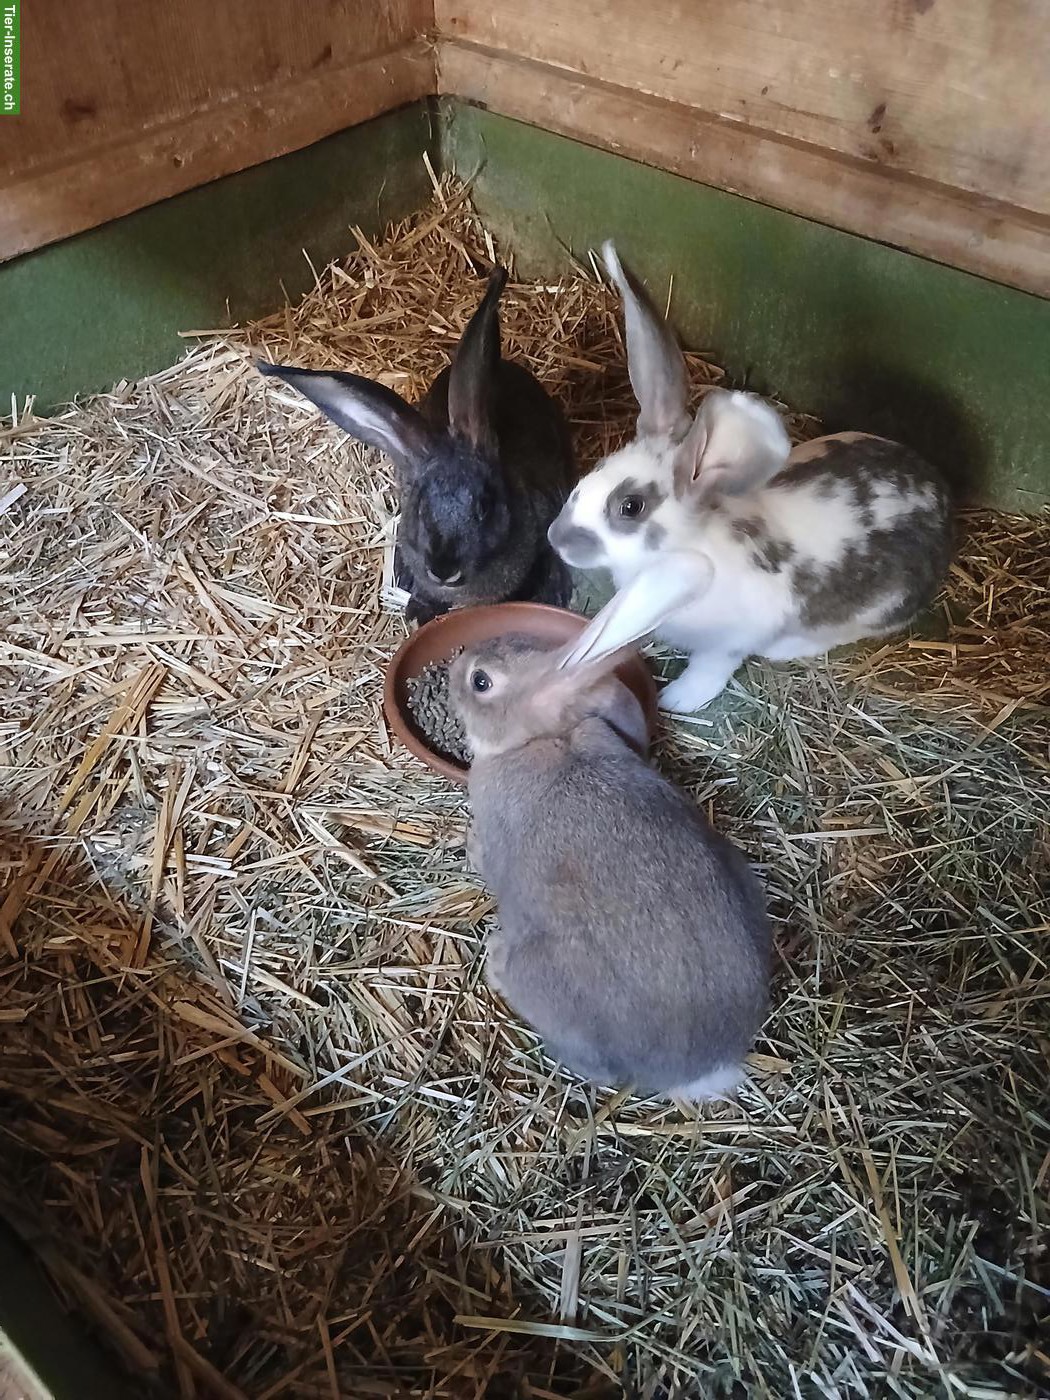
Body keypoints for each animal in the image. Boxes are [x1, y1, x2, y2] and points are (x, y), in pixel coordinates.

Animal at [448, 571, 770, 1100]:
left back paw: (496, 963)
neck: (544, 740)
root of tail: (696, 1070)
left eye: (481, 681)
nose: (455, 668)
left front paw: (470, 844)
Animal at [547, 242, 954, 713]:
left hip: (875, 607)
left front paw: (677, 700)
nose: (556, 538)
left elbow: (710, 669)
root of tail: (943, 502)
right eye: (594, 471)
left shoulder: (729, 640)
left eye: (631, 507)